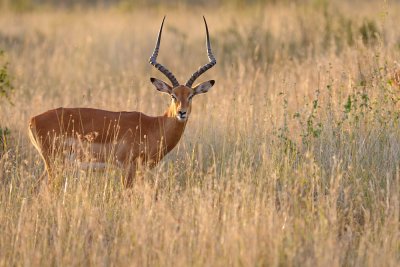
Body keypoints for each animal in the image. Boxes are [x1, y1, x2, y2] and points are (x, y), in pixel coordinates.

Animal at [28, 17, 217, 188]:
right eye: (173, 95)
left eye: (191, 95)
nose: (181, 113)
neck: (153, 126)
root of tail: (33, 119)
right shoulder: (127, 169)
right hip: (54, 165)